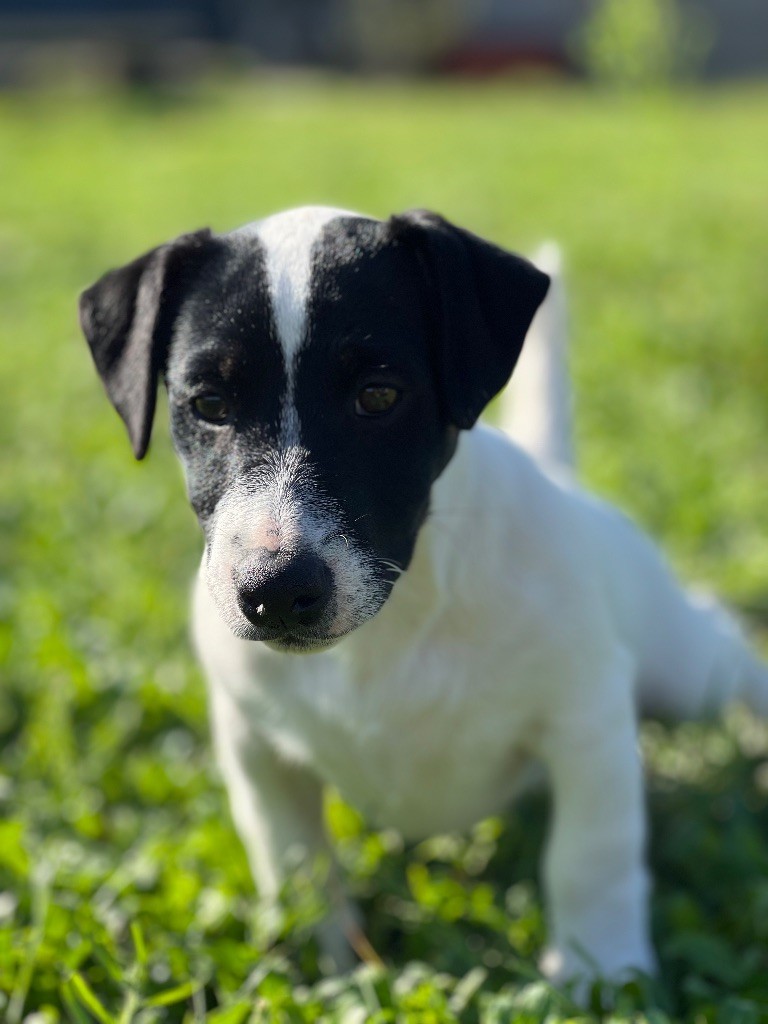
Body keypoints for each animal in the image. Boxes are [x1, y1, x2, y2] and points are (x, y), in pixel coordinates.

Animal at [79, 205, 768, 991]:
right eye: (209, 405)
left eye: (378, 395)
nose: (275, 591)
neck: (391, 626)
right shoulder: (255, 748)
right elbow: (294, 865)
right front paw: (324, 971)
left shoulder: (587, 727)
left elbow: (590, 859)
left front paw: (603, 974)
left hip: (684, 673)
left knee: (723, 643)